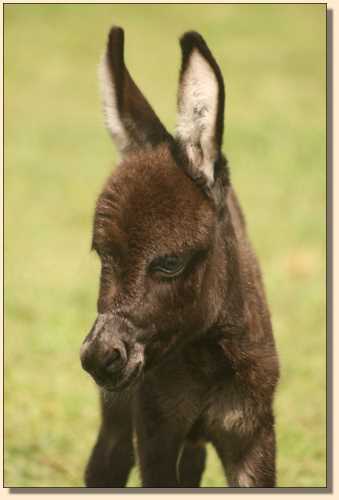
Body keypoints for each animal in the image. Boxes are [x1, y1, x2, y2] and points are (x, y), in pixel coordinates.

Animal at [81, 28, 280, 488]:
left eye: (170, 263)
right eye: (101, 253)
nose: (99, 357)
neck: (206, 358)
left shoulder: (253, 433)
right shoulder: (154, 429)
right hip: (118, 416)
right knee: (105, 465)